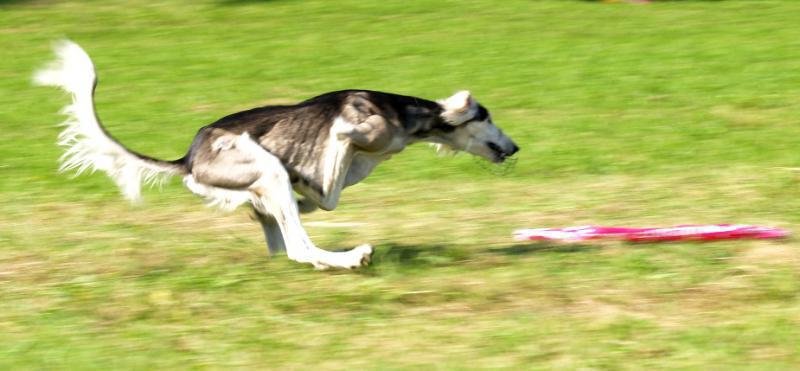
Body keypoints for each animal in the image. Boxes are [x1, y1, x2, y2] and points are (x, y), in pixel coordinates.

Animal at [36, 41, 520, 270]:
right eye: (487, 115)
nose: (515, 147)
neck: (402, 114)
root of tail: (188, 157)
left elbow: (319, 198)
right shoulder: (344, 143)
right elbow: (329, 185)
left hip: (262, 181)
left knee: (284, 244)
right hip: (266, 169)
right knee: (300, 248)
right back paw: (350, 258)